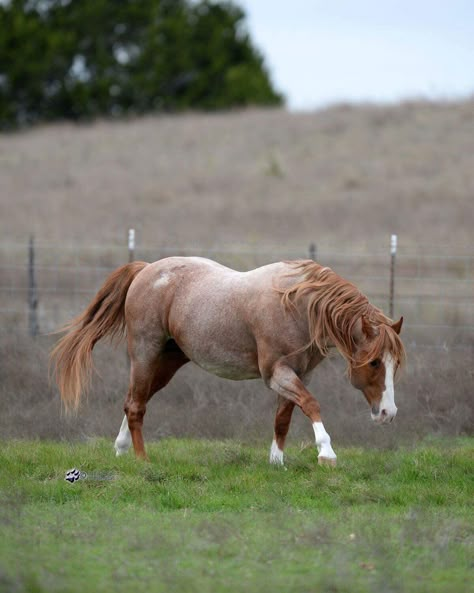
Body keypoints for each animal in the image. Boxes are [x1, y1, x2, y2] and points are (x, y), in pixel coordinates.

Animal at [51, 256, 404, 464]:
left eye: (395, 364)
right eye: (375, 363)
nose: (388, 413)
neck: (298, 305)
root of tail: (145, 269)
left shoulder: (299, 373)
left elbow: (284, 417)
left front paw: (276, 462)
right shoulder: (276, 373)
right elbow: (311, 404)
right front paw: (326, 453)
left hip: (167, 362)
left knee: (133, 401)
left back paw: (122, 448)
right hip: (144, 354)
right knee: (137, 406)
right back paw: (142, 461)